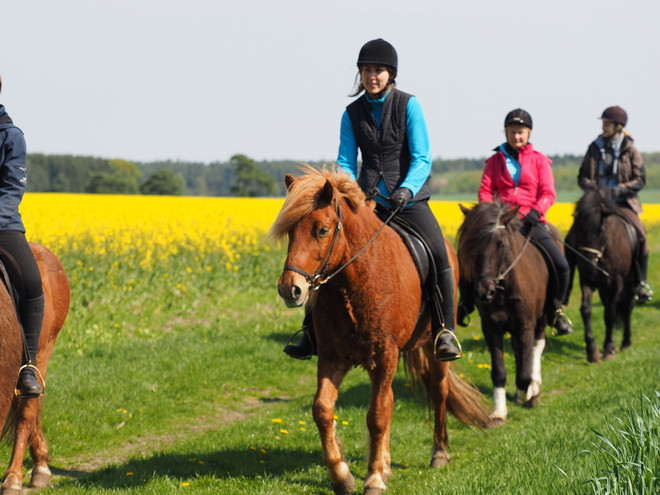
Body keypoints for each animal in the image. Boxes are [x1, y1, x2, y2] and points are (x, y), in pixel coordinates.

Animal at [270, 169, 490, 495]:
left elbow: (376, 415)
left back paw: (439, 453)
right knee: (389, 400)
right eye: (290, 232)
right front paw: (342, 475)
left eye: (322, 230)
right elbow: (323, 409)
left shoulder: (386, 354)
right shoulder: (333, 356)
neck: (352, 284)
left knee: (438, 392)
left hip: (432, 347)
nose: (290, 290)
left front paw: (373, 478)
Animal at [458, 202, 556, 426]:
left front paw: (530, 393)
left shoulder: (526, 325)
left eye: (501, 244)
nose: (484, 292)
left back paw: (534, 385)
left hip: (542, 318)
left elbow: (524, 374)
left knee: (536, 347)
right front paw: (499, 411)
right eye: (470, 244)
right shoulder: (491, 327)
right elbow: (499, 371)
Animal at [564, 188, 636, 362]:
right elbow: (586, 310)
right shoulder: (587, 282)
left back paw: (626, 342)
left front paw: (609, 348)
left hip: (629, 284)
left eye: (602, 230)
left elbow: (610, 314)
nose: (589, 267)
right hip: (604, 289)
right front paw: (592, 351)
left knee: (628, 307)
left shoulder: (617, 284)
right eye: (579, 229)